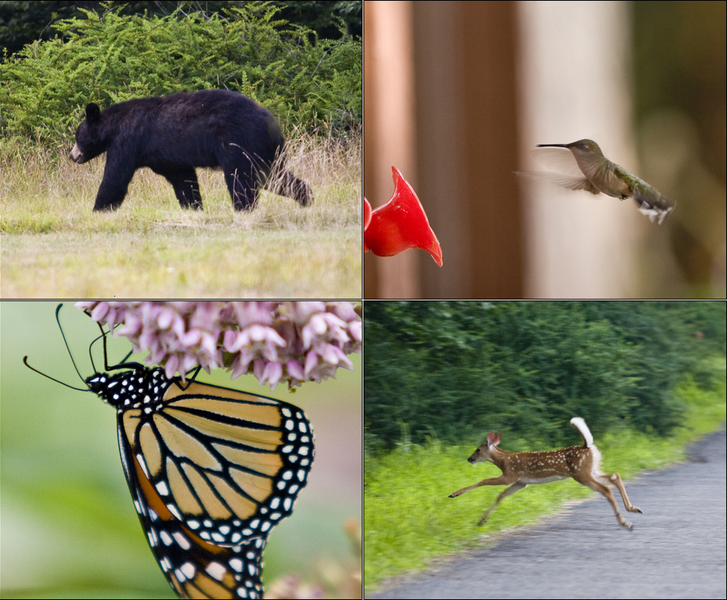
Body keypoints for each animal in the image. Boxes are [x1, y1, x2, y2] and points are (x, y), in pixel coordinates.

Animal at [69, 89, 316, 211]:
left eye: (78, 136)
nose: (73, 155)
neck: (113, 128)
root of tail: (273, 123)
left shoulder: (128, 142)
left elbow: (115, 177)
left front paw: (98, 209)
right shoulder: (167, 157)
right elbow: (183, 179)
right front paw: (193, 207)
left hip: (238, 142)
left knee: (241, 178)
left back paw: (243, 208)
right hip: (263, 151)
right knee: (273, 177)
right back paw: (306, 199)